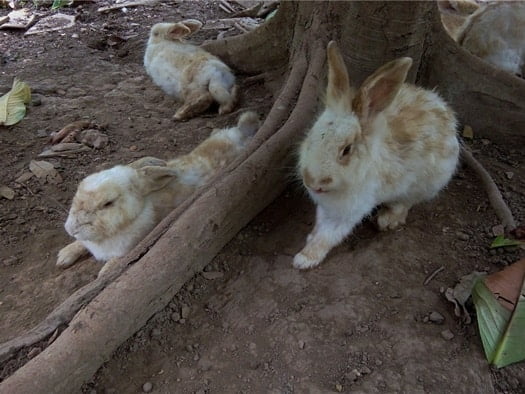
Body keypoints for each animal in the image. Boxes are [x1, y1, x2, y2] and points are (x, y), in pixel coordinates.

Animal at [57, 112, 260, 270]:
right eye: (77, 193)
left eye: (108, 203)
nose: (72, 229)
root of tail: (240, 134)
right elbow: (80, 244)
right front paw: (63, 256)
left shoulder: (131, 250)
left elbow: (114, 265)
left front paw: (102, 272)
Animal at [292, 41, 460, 270]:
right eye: (311, 135)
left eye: (346, 150)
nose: (312, 181)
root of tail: (445, 112)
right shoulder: (326, 208)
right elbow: (319, 226)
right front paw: (309, 239)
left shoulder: (350, 211)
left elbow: (329, 235)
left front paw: (304, 259)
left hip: (426, 184)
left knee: (406, 203)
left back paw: (387, 219)